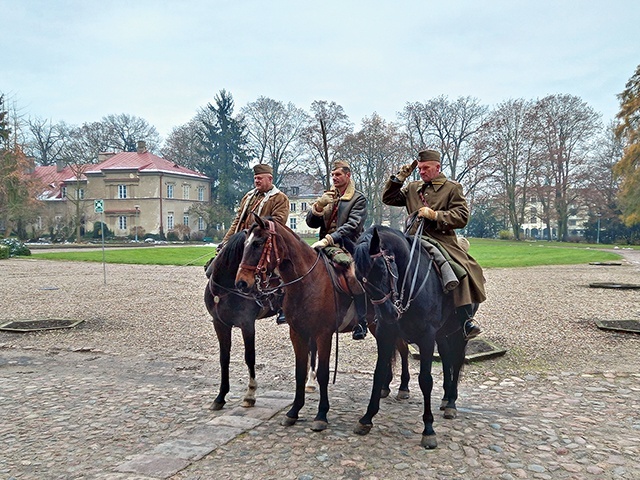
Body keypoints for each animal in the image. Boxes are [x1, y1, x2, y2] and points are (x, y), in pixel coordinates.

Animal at [235, 214, 410, 432]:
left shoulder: (323, 334)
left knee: (402, 349)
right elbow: (300, 372)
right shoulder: (298, 334)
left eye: (258, 243)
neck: (307, 281)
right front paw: (294, 411)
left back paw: (403, 387)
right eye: (245, 244)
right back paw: (386, 387)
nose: (241, 283)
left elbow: (323, 373)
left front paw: (321, 415)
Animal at [352, 226, 468, 450]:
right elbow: (378, 373)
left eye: (381, 268)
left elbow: (425, 380)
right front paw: (367, 418)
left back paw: (451, 402)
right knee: (446, 357)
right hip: (442, 334)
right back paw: (446, 397)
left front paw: (428, 429)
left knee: (457, 361)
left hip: (459, 333)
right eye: (359, 279)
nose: (389, 314)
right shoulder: (386, 334)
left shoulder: (427, 337)